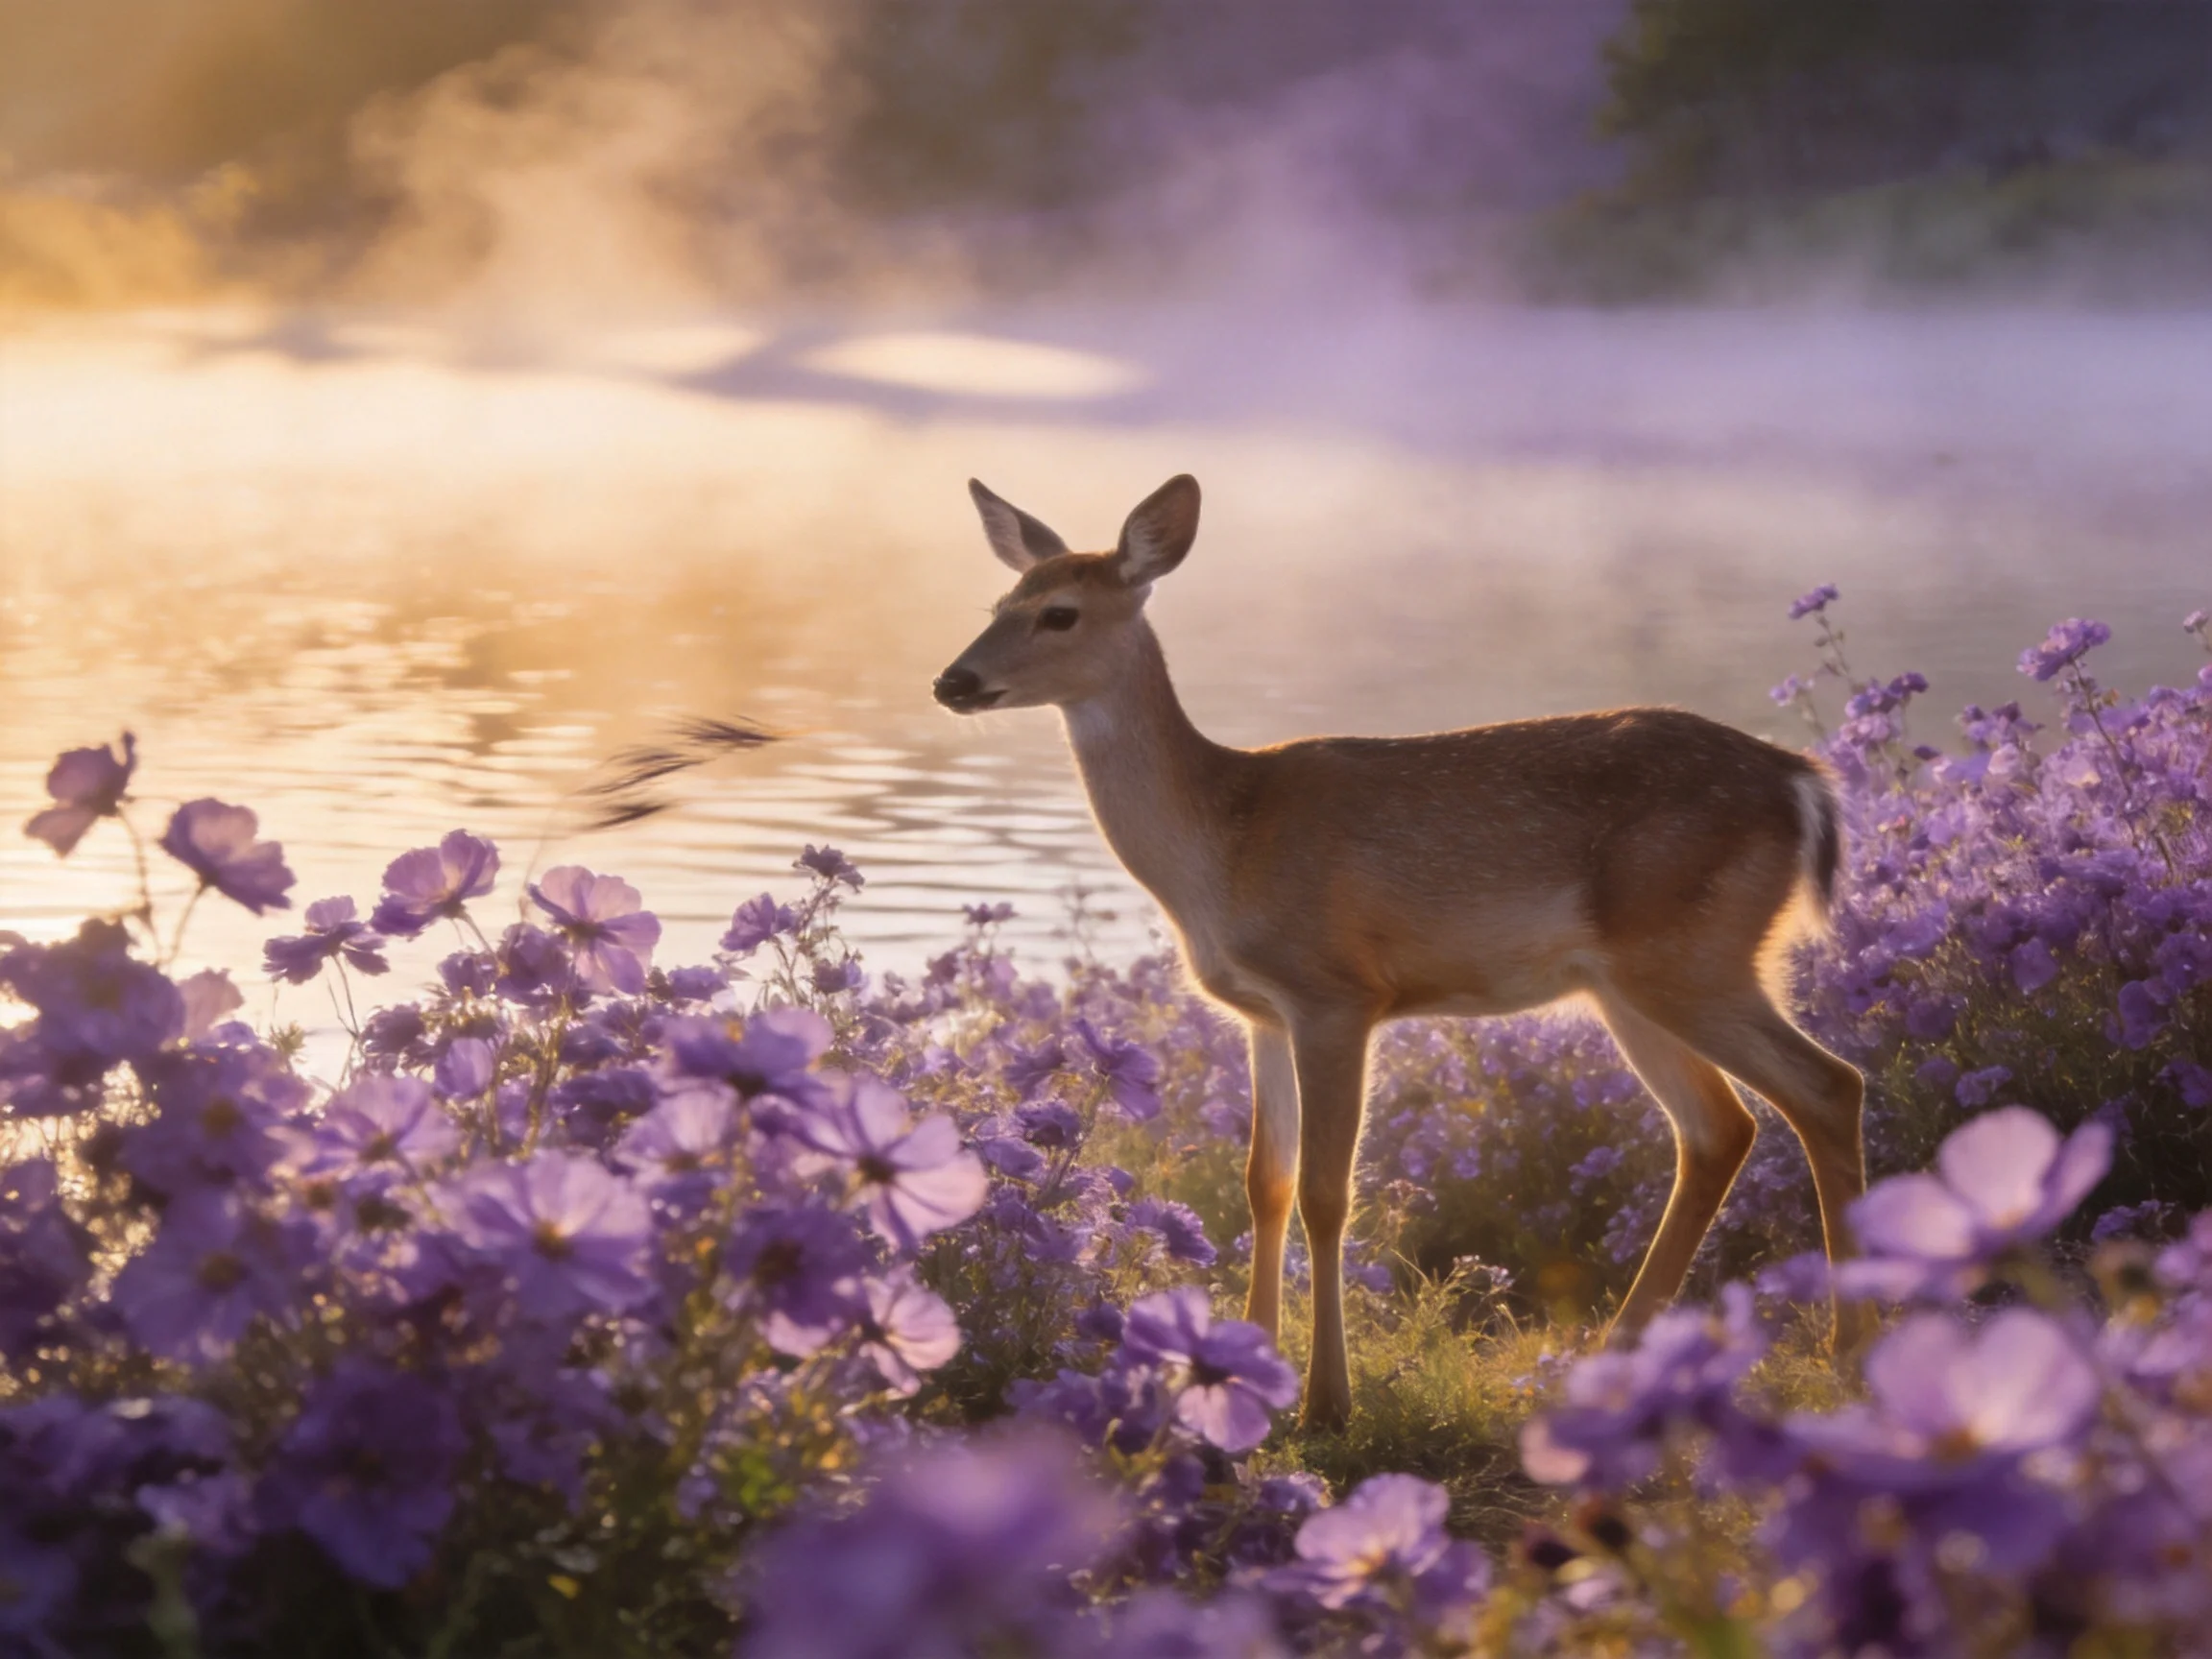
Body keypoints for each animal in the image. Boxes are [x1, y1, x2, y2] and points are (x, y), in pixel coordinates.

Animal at [932, 474, 1867, 1430]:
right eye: (999, 603)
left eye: (1060, 614)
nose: (951, 680)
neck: (1224, 845)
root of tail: (1805, 783)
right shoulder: (1261, 1013)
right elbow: (1263, 1182)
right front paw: (1240, 1363)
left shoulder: (1336, 993)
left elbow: (1326, 1192)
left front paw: (1325, 1401)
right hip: (1630, 983)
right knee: (1721, 1127)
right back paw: (1622, 1356)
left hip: (1691, 954)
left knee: (1826, 1086)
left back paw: (1849, 1348)